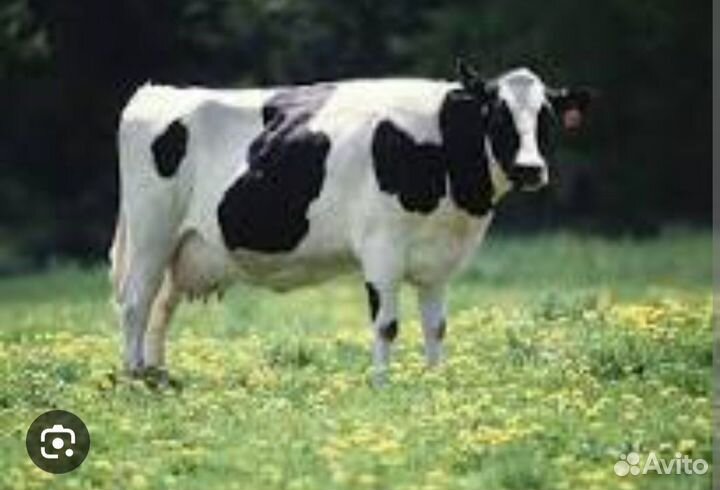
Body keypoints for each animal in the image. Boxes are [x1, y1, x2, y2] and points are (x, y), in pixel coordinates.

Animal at [110, 60, 591, 385]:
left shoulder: (439, 261)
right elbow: (387, 325)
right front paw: (382, 386)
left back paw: (158, 377)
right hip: (151, 233)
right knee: (135, 304)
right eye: (497, 115)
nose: (530, 169)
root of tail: (155, 92)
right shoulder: (382, 247)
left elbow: (436, 327)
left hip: (183, 247)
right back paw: (134, 378)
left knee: (161, 308)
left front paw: (435, 382)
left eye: (546, 118)